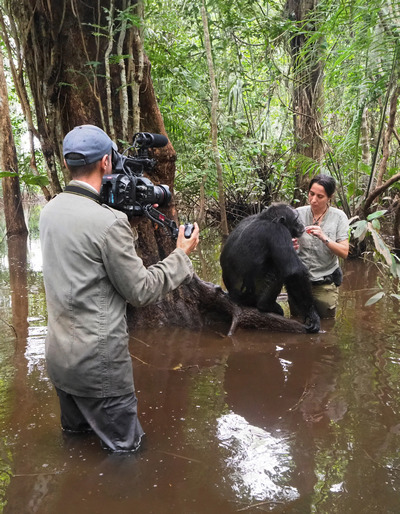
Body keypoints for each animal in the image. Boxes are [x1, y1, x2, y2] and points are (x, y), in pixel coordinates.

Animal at [220, 202, 320, 330]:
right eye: (296, 219)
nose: (302, 224)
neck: (266, 219)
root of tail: (233, 297)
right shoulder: (278, 232)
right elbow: (294, 271)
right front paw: (312, 314)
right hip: (251, 297)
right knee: (279, 271)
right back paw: (266, 305)